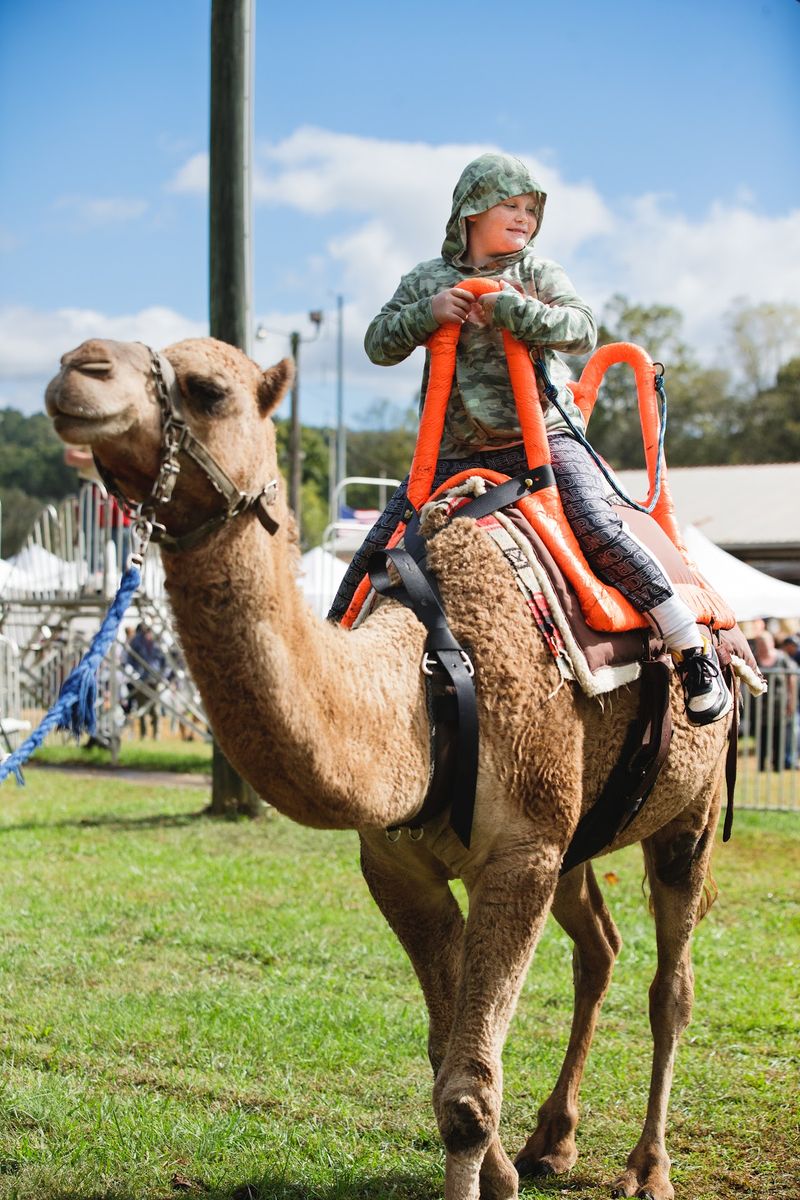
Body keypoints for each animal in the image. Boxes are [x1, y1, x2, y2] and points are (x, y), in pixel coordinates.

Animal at [45, 335, 735, 1200]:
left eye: (207, 390)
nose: (78, 367)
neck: (432, 678)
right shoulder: (399, 862)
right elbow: (448, 1054)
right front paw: (504, 1175)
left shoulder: (520, 854)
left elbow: (468, 1094)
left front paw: (490, 1173)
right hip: (580, 834)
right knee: (599, 949)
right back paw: (553, 1141)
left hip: (689, 810)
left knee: (671, 984)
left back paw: (648, 1167)